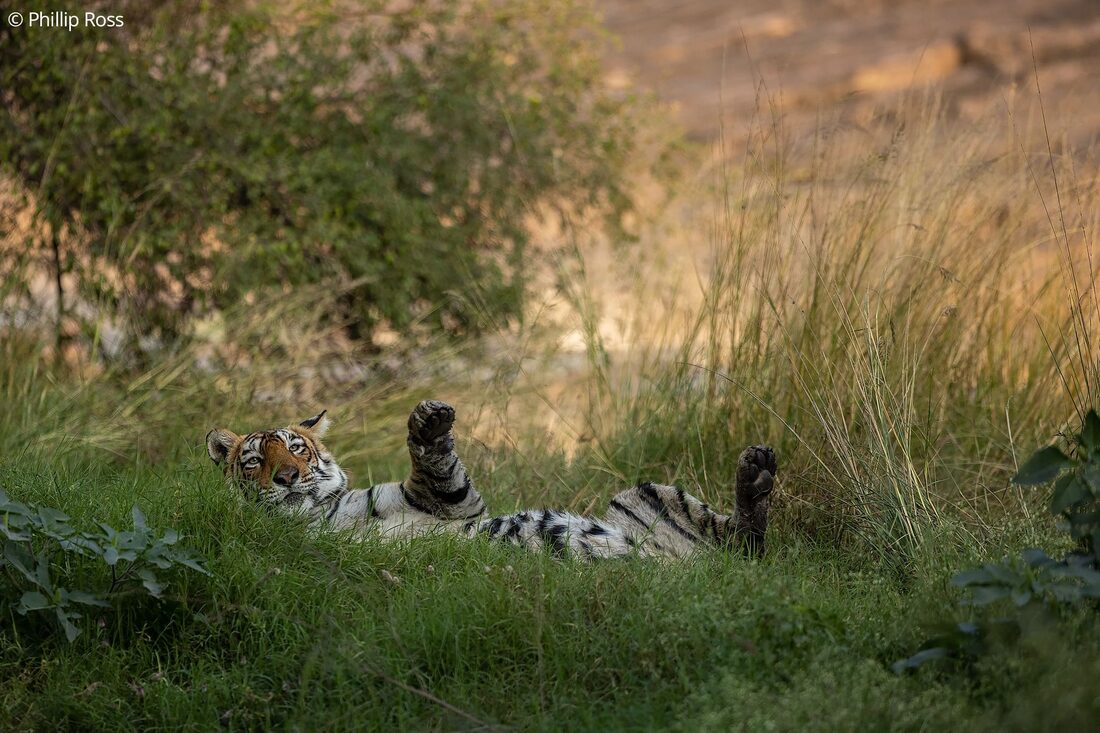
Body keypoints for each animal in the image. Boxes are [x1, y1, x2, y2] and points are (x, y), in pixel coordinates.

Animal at [205, 400, 775, 560]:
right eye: (254, 460)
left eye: (296, 448)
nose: (286, 477)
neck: (315, 515)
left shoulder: (440, 503)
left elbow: (440, 468)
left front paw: (429, 421)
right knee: (746, 546)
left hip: (648, 492)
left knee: (746, 538)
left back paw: (758, 469)